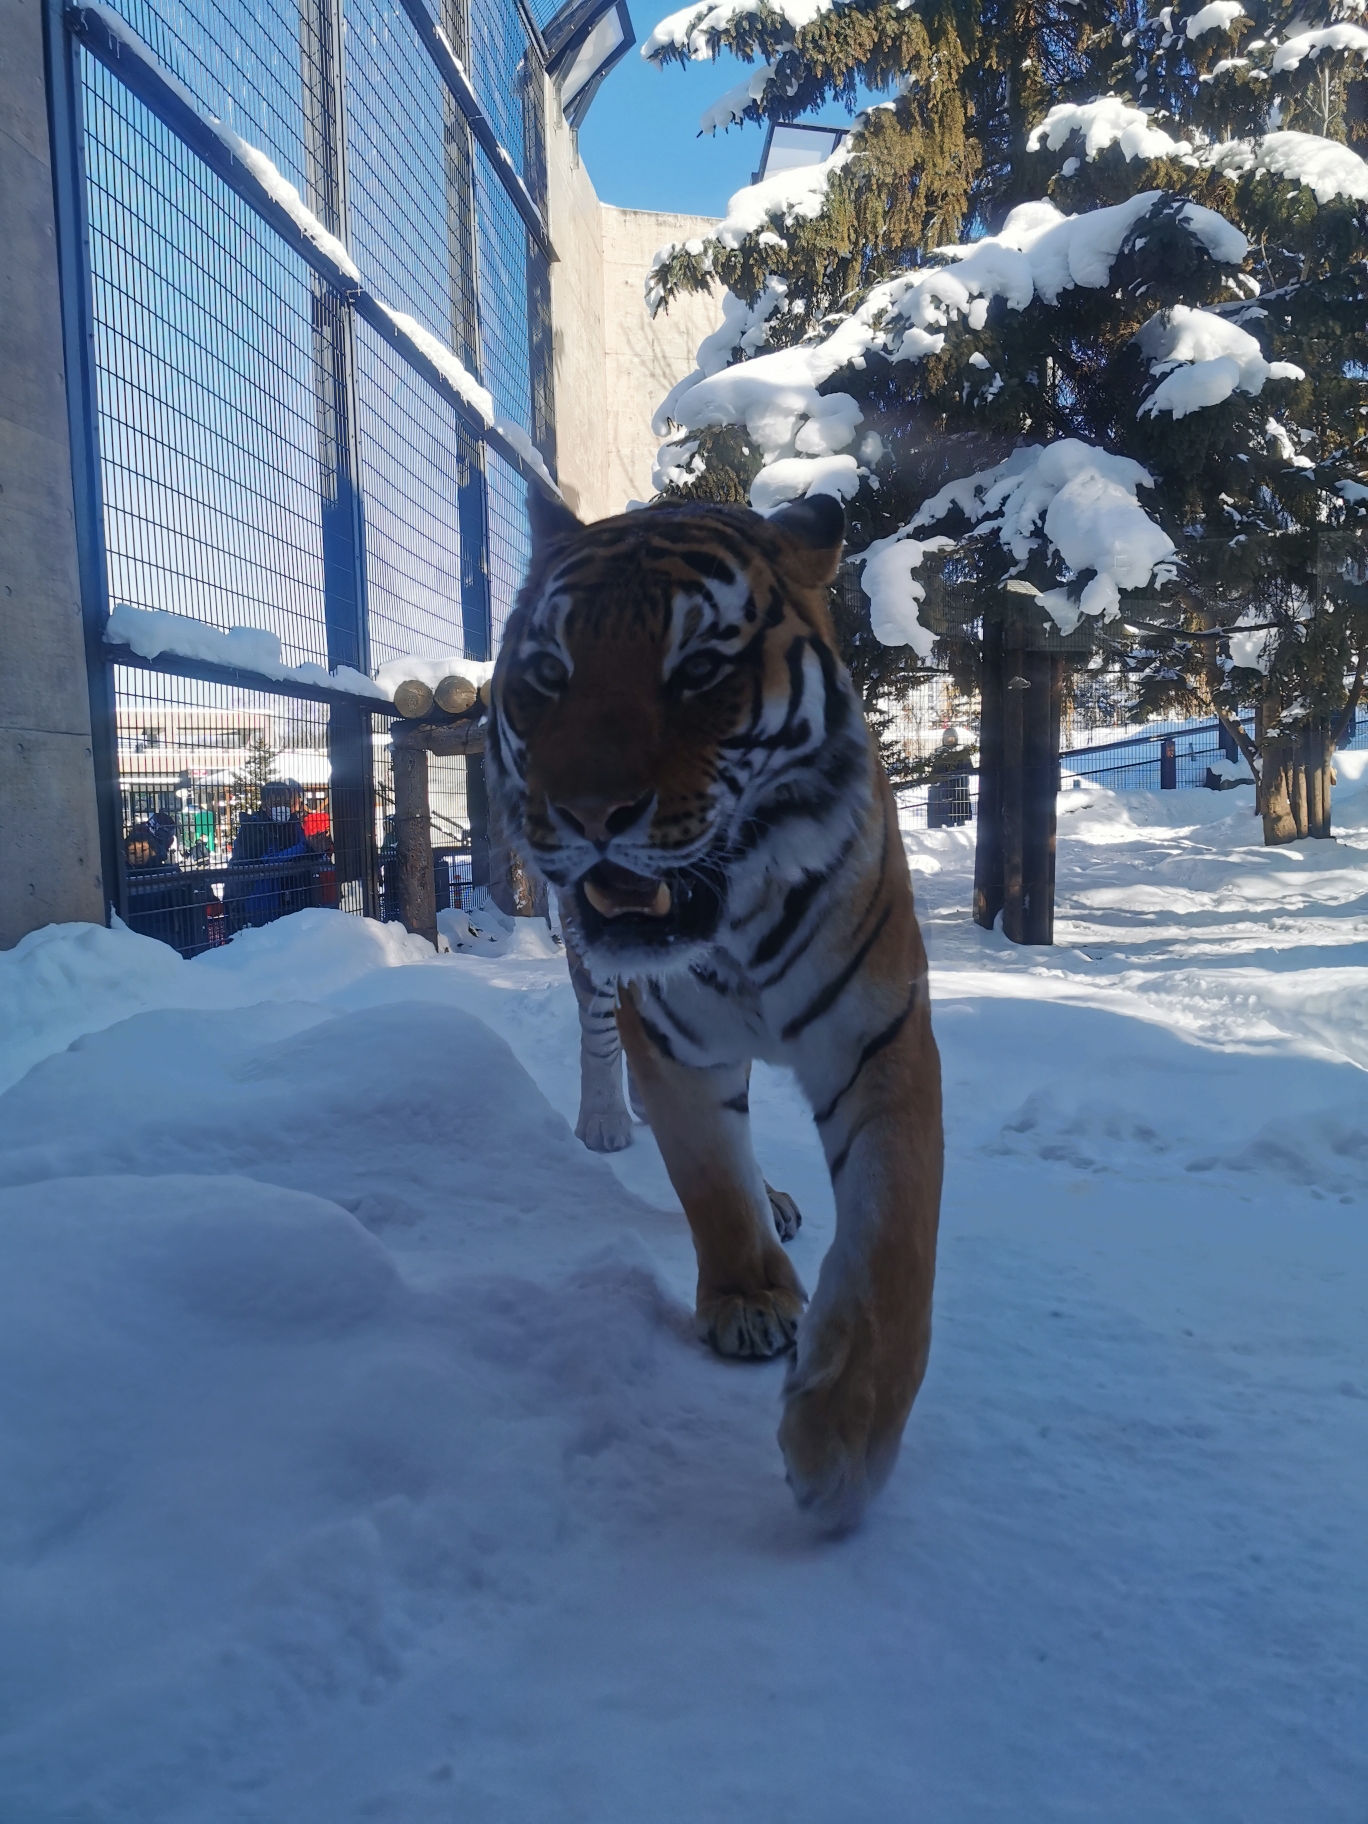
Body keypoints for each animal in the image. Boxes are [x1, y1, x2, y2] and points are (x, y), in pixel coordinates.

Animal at [488, 492, 948, 1532]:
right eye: (548, 674)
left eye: (698, 670)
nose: (587, 815)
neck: (736, 924)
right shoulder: (672, 1045)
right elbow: (709, 1181)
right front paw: (748, 1304)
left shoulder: (882, 1040)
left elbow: (894, 1241)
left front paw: (843, 1443)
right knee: (600, 1042)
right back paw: (608, 1122)